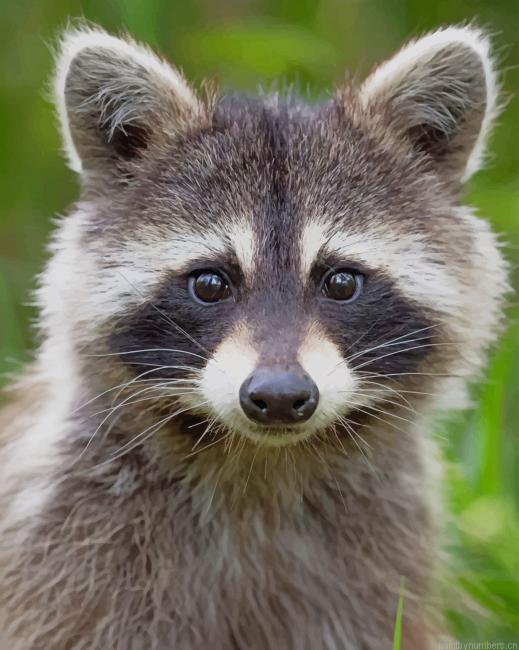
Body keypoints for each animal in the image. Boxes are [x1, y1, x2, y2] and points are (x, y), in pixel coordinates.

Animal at [0, 24, 508, 650]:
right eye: (210, 283)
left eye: (341, 281)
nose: (280, 396)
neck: (260, 461)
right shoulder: (65, 547)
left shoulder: (378, 562)